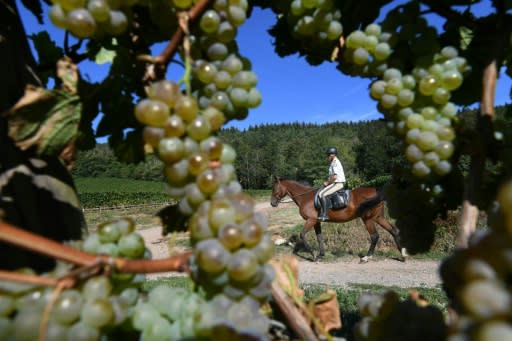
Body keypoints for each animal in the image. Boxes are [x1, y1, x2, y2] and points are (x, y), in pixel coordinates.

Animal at [268, 177, 408, 262]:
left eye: (274, 188)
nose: (272, 203)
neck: (306, 197)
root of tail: (377, 191)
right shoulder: (316, 222)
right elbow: (319, 237)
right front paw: (321, 255)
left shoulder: (311, 220)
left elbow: (302, 234)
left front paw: (313, 254)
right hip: (378, 217)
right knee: (393, 231)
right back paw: (403, 255)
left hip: (368, 219)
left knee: (374, 236)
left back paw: (366, 257)